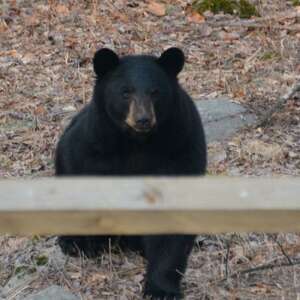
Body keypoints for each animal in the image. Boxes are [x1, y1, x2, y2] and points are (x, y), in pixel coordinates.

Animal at [55, 47, 206, 298]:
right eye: (125, 92)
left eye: (155, 92)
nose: (143, 119)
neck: (138, 143)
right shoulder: (94, 142)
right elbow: (75, 169)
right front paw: (79, 241)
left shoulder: (179, 147)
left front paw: (161, 289)